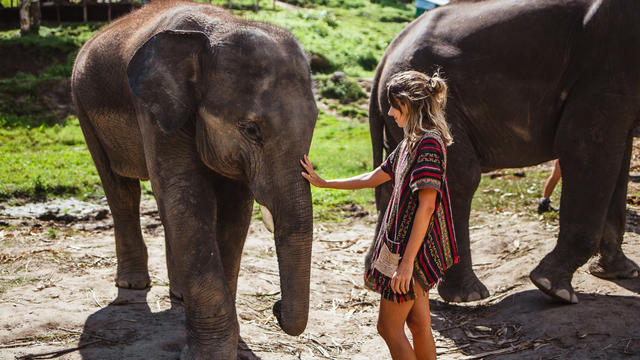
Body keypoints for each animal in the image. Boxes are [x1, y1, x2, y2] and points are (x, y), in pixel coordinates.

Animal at [72, 0, 318, 358]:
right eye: (252, 130)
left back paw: (178, 294)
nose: (275, 307)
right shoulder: (154, 111)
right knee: (121, 192)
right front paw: (211, 354)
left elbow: (234, 211)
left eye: (315, 123)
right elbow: (187, 195)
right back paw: (133, 284)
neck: (219, 28)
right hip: (83, 108)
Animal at [364, 0, 640, 306]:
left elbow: (619, 156)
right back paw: (468, 294)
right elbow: (584, 146)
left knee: (394, 181)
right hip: (439, 105)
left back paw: (377, 282)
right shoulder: (607, 60)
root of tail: (386, 56)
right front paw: (554, 288)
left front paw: (621, 272)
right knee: (461, 177)